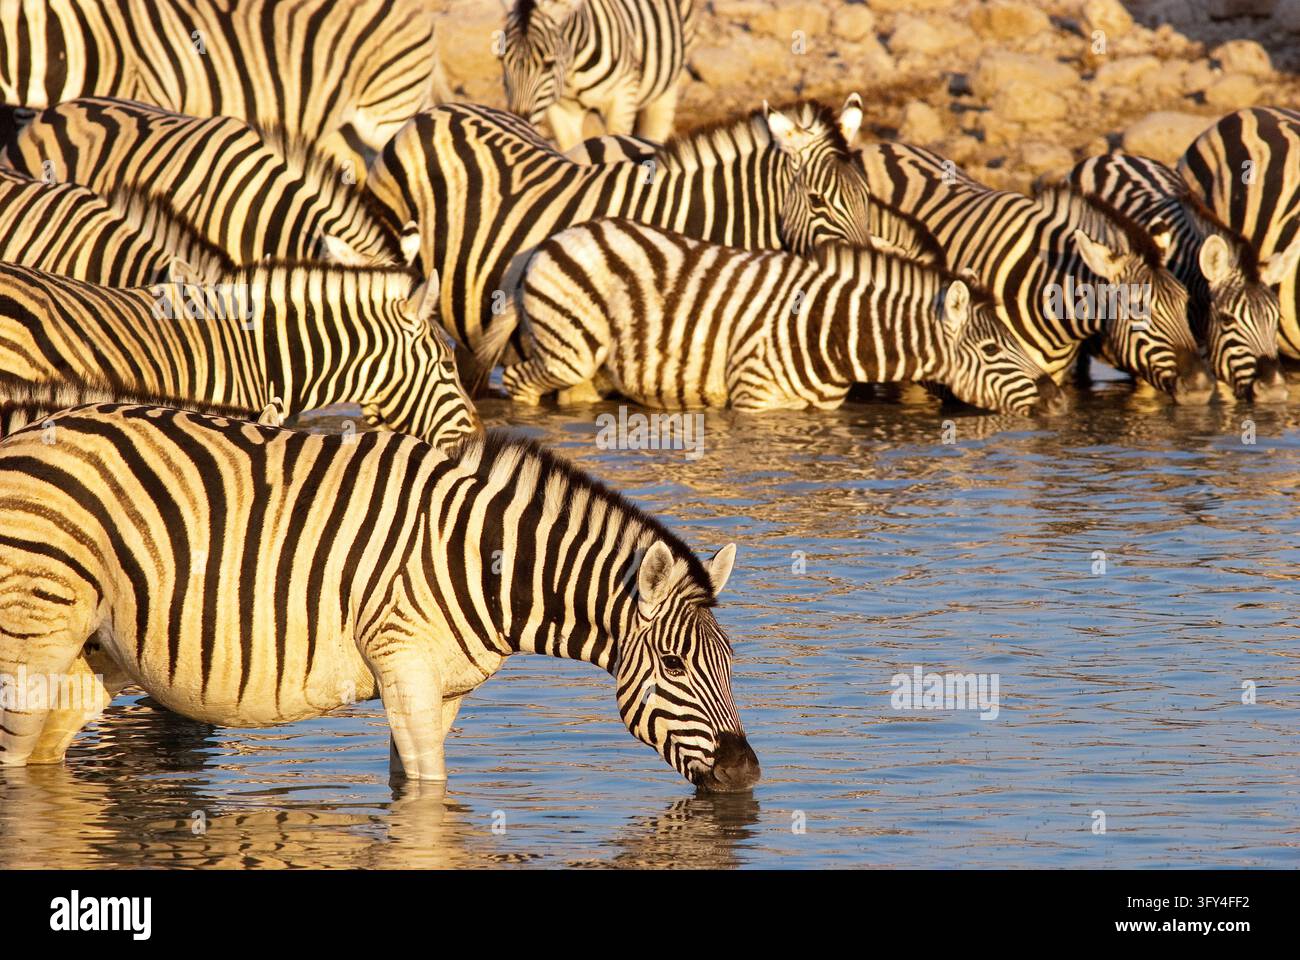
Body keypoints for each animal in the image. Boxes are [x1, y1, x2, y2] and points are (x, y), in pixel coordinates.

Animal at [0, 413, 759, 792]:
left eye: (730, 664)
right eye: (673, 666)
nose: (747, 774)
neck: (478, 562)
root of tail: (28, 429)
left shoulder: (440, 689)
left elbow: (411, 785)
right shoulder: (404, 666)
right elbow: (430, 791)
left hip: (93, 655)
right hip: (33, 638)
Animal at [499, 218, 1062, 415]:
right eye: (992, 349)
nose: (1058, 400)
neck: (835, 332)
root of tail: (549, 240)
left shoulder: (822, 410)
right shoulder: (755, 399)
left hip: (592, 367)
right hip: (568, 349)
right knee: (521, 382)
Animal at [501, 0, 696, 150]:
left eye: (548, 65)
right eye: (502, 60)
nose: (519, 121)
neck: (572, 68)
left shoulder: (623, 95)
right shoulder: (560, 108)